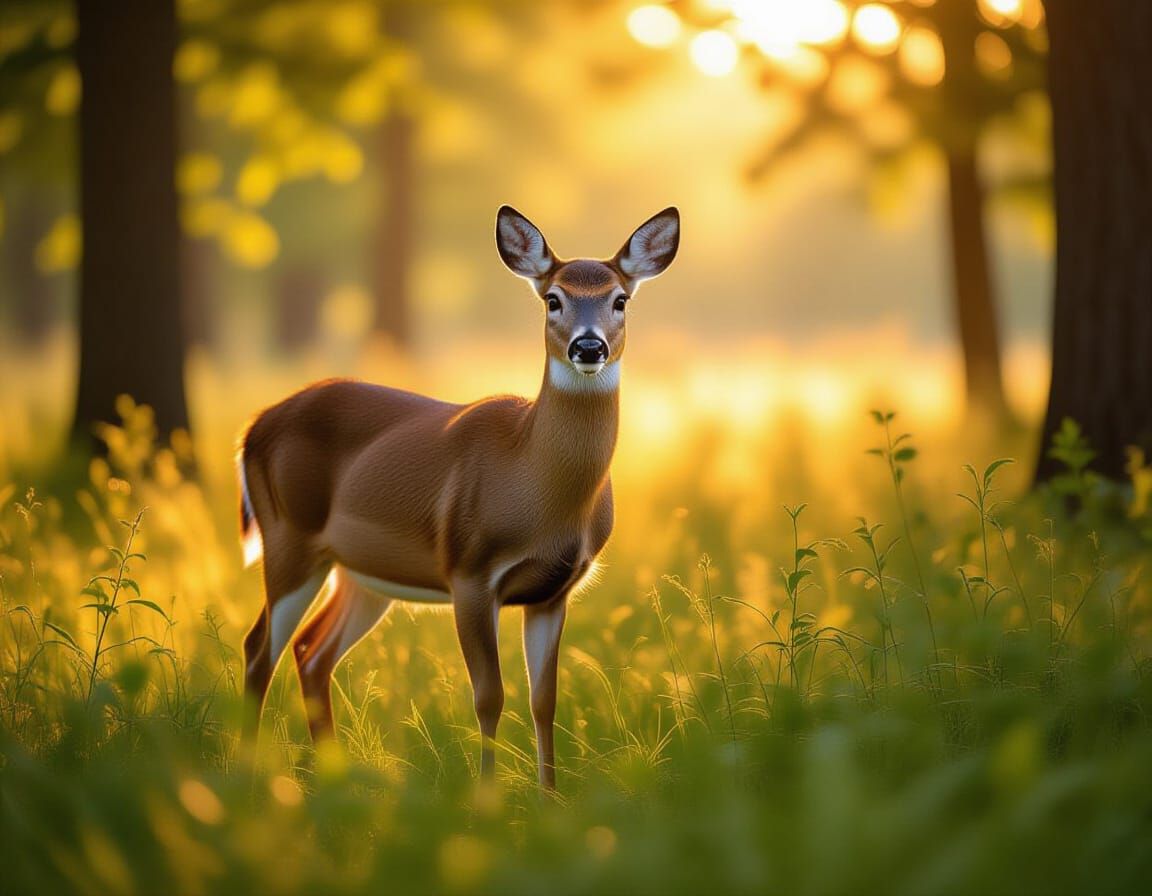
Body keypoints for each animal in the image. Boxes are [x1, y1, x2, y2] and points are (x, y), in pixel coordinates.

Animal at [237, 205, 680, 788]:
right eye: (552, 298)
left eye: (620, 299)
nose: (589, 347)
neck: (535, 485)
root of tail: (253, 427)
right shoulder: (470, 571)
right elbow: (489, 697)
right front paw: (487, 794)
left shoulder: (554, 591)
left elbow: (545, 701)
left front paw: (550, 797)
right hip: (288, 535)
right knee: (258, 647)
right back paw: (243, 774)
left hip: (360, 572)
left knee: (311, 650)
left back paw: (332, 776)